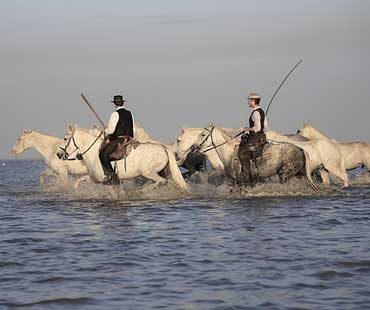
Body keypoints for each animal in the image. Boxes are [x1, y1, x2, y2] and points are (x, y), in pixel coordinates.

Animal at [58, 126, 191, 194]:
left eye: (65, 138)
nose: (59, 154)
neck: (94, 153)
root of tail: (163, 147)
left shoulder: (109, 182)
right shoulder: (95, 179)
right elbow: (79, 180)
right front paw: (75, 190)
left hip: (148, 172)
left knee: (161, 181)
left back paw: (143, 190)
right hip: (164, 172)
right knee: (171, 183)